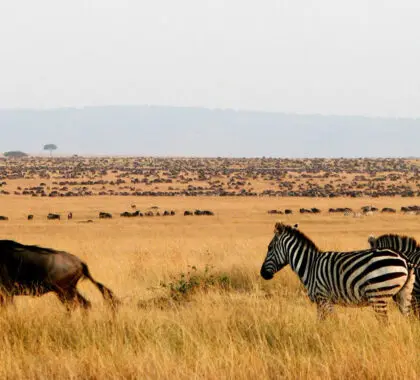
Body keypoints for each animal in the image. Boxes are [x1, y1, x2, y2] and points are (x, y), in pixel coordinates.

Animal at [260, 221, 416, 322]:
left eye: (269, 247)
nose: (263, 274)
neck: (309, 265)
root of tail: (405, 260)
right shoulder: (320, 302)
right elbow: (320, 323)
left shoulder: (324, 298)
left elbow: (334, 322)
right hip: (404, 295)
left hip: (378, 296)